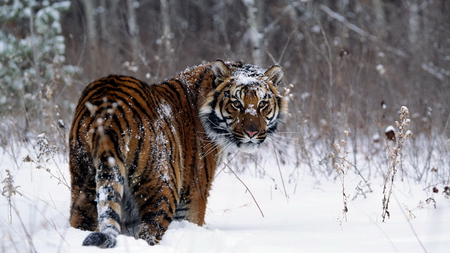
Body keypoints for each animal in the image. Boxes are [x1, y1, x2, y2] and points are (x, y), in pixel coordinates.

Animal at [70, 60, 288, 248]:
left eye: (262, 104)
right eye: (236, 104)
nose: (252, 133)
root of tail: (108, 113)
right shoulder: (194, 194)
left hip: (84, 183)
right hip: (162, 188)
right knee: (149, 233)